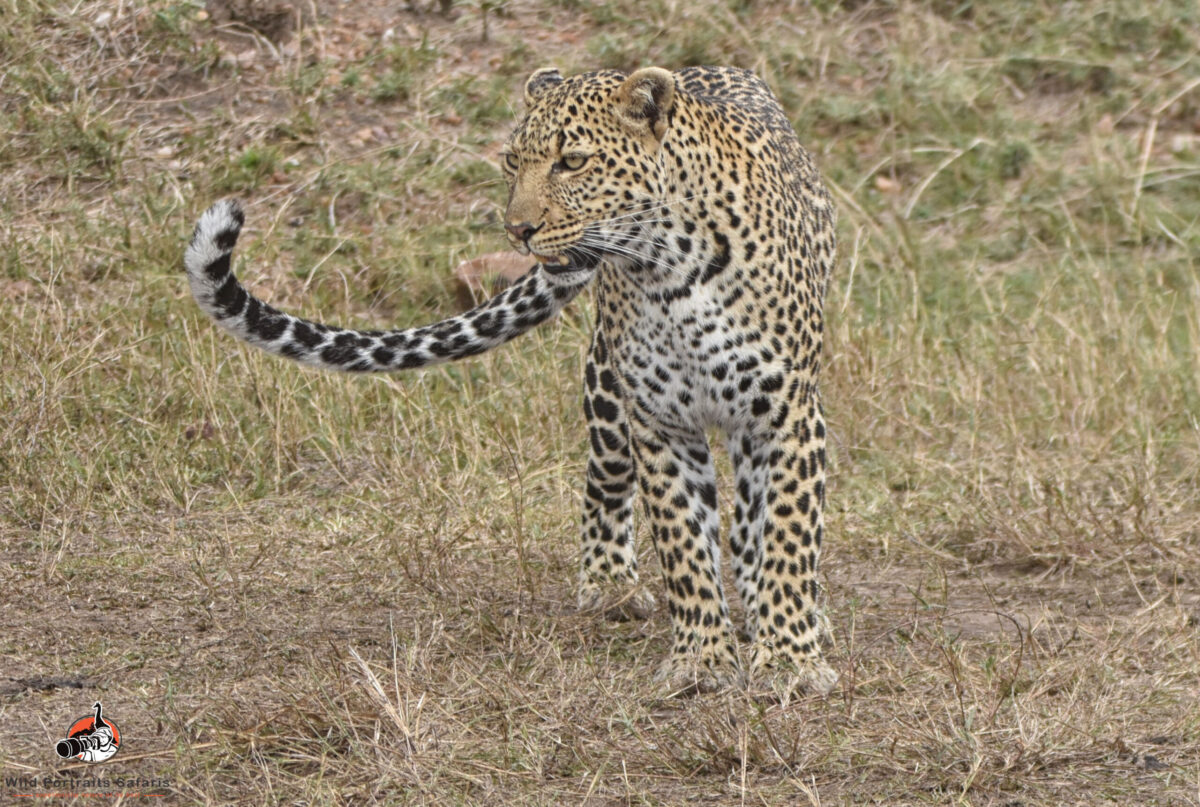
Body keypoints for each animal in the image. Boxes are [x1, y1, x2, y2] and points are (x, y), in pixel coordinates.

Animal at [189, 63, 844, 696]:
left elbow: (786, 535)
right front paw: (702, 659)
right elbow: (685, 545)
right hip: (609, 391)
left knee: (753, 518)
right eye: (512, 161)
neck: (671, 271)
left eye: (573, 161)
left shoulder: (787, 412)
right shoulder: (662, 423)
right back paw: (611, 584)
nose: (519, 230)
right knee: (608, 478)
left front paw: (790, 659)